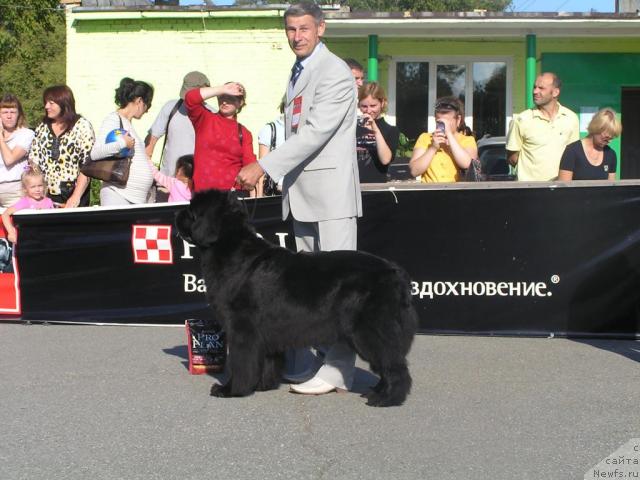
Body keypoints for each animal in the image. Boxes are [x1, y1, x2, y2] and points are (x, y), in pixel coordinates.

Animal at [175, 189, 418, 406]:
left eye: (192, 211)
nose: (177, 213)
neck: (231, 249)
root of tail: (396, 272)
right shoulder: (264, 332)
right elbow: (267, 361)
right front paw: (262, 385)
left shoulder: (241, 328)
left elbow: (240, 363)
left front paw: (231, 390)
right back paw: (376, 391)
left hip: (370, 331)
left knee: (394, 366)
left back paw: (386, 399)